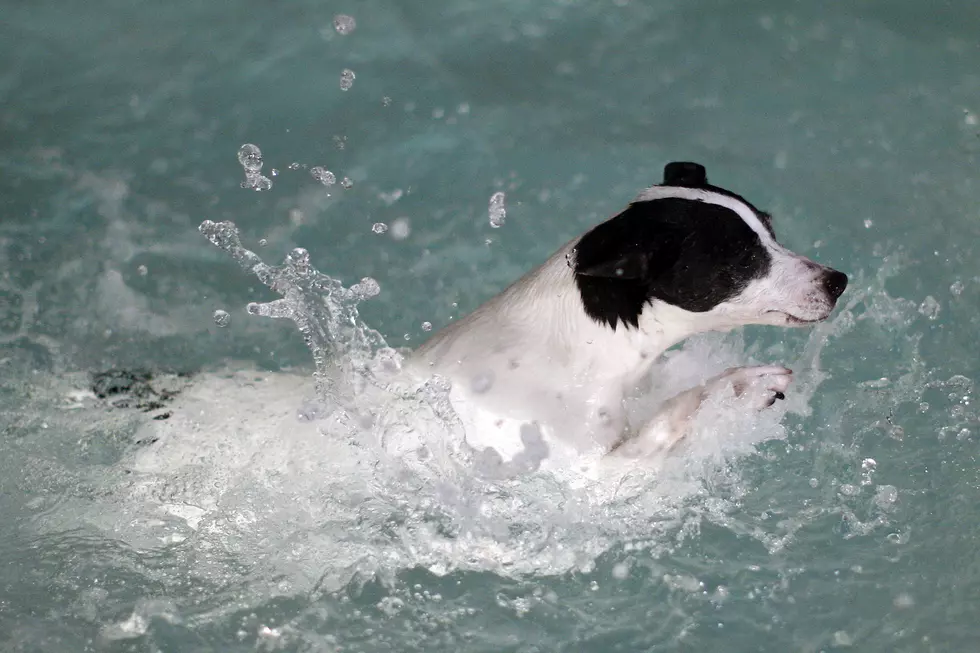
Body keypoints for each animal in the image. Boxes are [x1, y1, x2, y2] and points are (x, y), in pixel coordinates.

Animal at [105, 161, 844, 476]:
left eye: (769, 226)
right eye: (739, 261)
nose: (838, 281)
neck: (569, 349)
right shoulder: (572, 478)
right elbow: (669, 419)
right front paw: (740, 387)